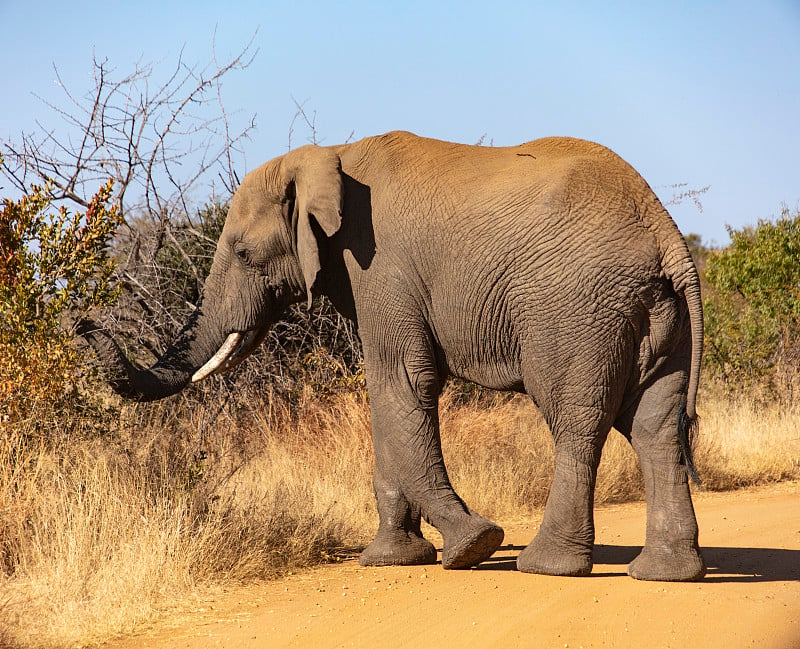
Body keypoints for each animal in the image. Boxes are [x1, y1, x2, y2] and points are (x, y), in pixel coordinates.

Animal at [79, 132, 708, 584]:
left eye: (241, 251)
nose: (84, 325)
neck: (330, 155)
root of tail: (666, 234)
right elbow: (389, 396)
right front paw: (392, 559)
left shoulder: (381, 266)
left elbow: (400, 383)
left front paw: (473, 546)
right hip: (654, 314)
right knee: (655, 425)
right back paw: (666, 575)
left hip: (577, 309)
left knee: (576, 420)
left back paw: (547, 567)